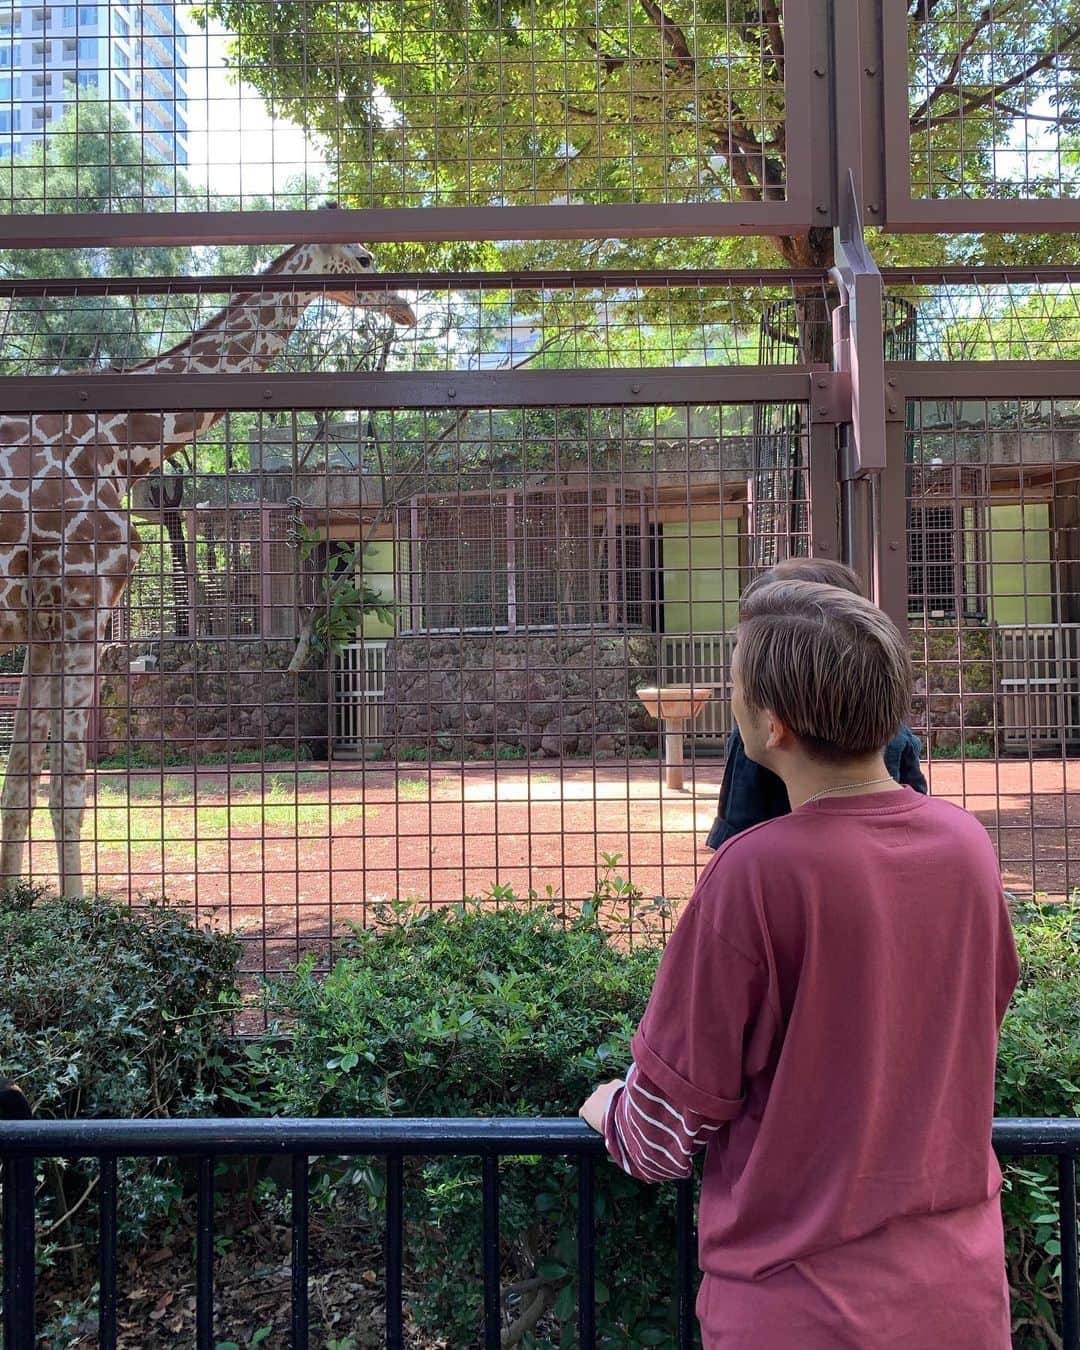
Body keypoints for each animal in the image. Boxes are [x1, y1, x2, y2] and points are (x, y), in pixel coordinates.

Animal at [0, 240, 418, 896]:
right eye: (365, 259)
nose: (406, 307)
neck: (116, 443)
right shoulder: (83, 600)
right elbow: (67, 788)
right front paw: (72, 913)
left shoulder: (44, 623)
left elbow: (18, 783)